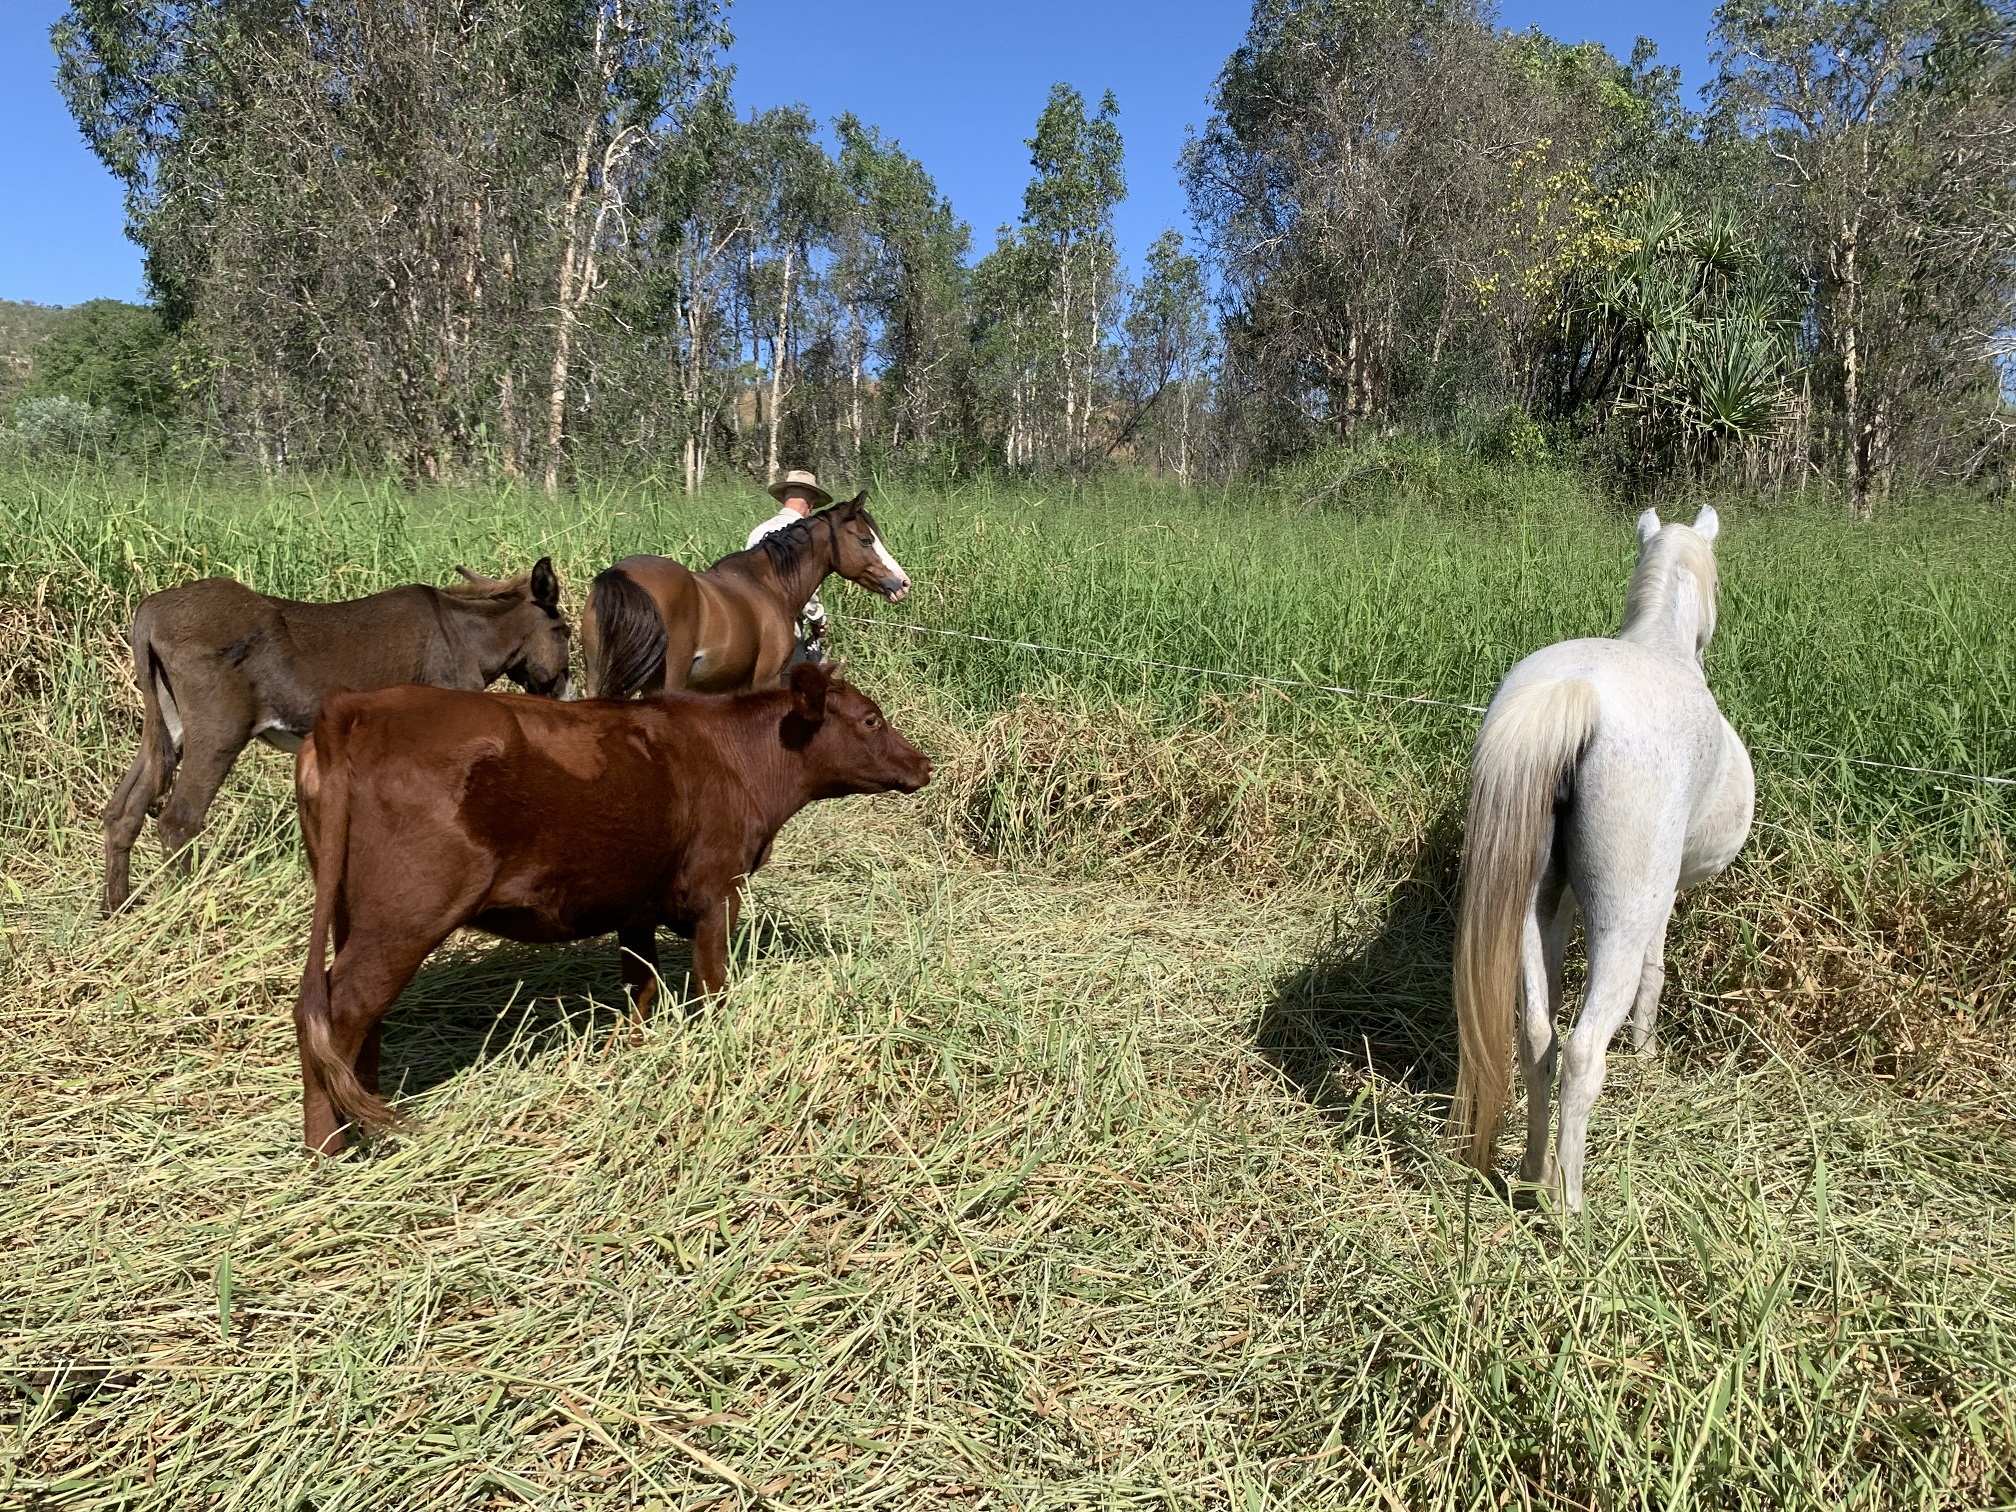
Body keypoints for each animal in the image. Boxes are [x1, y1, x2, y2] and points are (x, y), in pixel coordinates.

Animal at [107, 556, 572, 911]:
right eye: (563, 631)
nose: (567, 697)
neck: (466, 636)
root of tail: (152, 608)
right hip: (219, 733)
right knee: (178, 821)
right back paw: (182, 911)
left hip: (169, 725)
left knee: (123, 810)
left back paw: (117, 911)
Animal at [290, 669, 927, 1153]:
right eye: (871, 719)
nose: (923, 764)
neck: (734, 758)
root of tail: (358, 706)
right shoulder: (717, 892)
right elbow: (712, 985)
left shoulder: (636, 903)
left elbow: (641, 984)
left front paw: (632, 1051)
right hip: (404, 917)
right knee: (340, 1011)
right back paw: (330, 1151)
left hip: (352, 914)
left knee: (353, 1017)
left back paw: (365, 1116)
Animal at [1443, 504, 1757, 1217]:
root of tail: (1576, 694)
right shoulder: (1661, 899)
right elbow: (1654, 972)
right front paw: (1646, 1052)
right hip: (1622, 914)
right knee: (1584, 1050)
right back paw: (1569, 1202)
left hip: (1530, 909)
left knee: (1538, 1038)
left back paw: (1531, 1174)